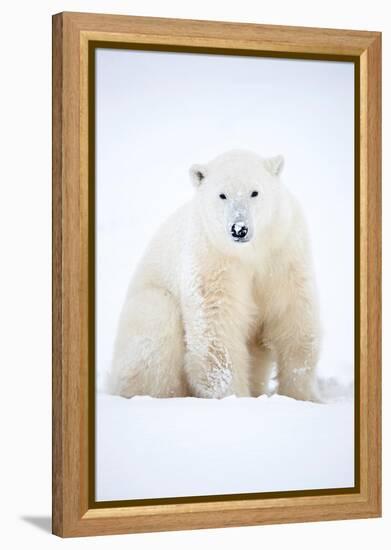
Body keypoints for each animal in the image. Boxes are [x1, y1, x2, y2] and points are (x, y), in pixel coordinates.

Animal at [107, 150, 322, 402]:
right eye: (222, 195)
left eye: (254, 192)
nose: (239, 229)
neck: (250, 252)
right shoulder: (212, 257)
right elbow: (216, 328)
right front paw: (235, 398)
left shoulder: (283, 253)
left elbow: (293, 316)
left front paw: (303, 397)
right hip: (147, 307)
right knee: (156, 323)